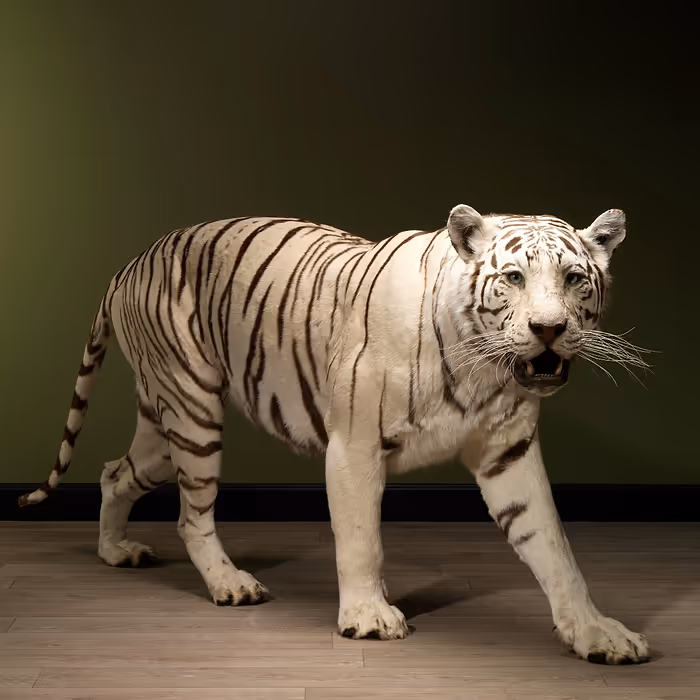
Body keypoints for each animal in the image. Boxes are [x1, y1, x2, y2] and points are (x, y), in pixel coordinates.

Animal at [20, 204, 650, 665]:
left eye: (574, 279)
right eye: (514, 278)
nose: (549, 329)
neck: (482, 368)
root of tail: (128, 265)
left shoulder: (508, 453)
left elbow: (554, 547)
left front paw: (596, 632)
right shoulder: (355, 445)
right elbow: (361, 539)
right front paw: (369, 618)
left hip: (162, 422)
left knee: (114, 473)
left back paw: (114, 551)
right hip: (193, 410)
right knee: (190, 514)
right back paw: (230, 584)